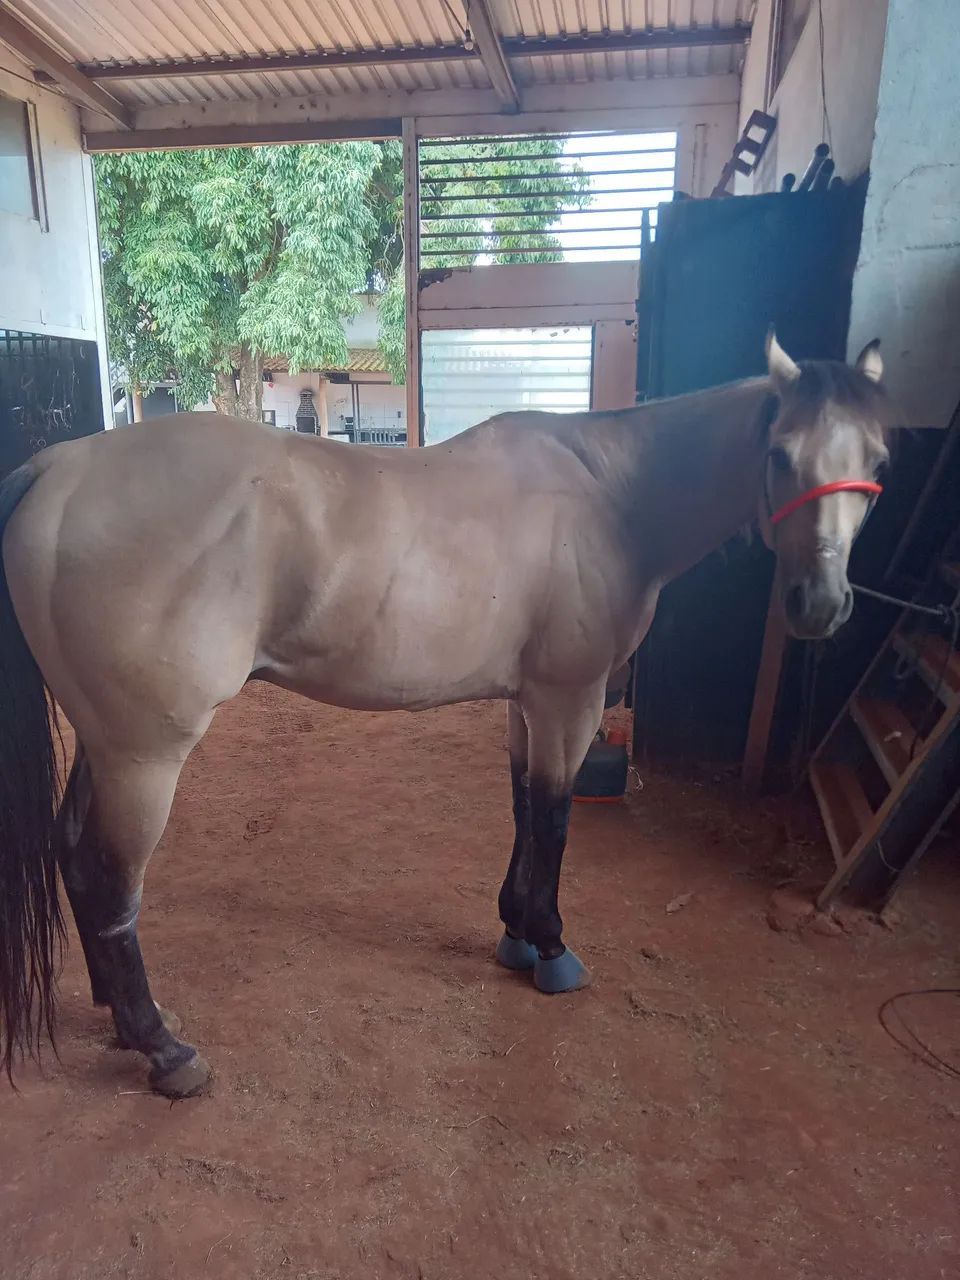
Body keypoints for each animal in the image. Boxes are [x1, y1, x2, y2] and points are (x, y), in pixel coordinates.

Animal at [0, 333, 891, 1098]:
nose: (820, 606)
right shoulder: (571, 699)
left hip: (107, 744)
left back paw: (125, 1023)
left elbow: (524, 809)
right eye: (780, 453)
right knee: (110, 879)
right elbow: (555, 819)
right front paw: (553, 947)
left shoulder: (529, 704)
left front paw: (516, 935)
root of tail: (59, 469)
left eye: (880, 460)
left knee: (74, 857)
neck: (610, 497)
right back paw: (163, 1050)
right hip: (145, 755)